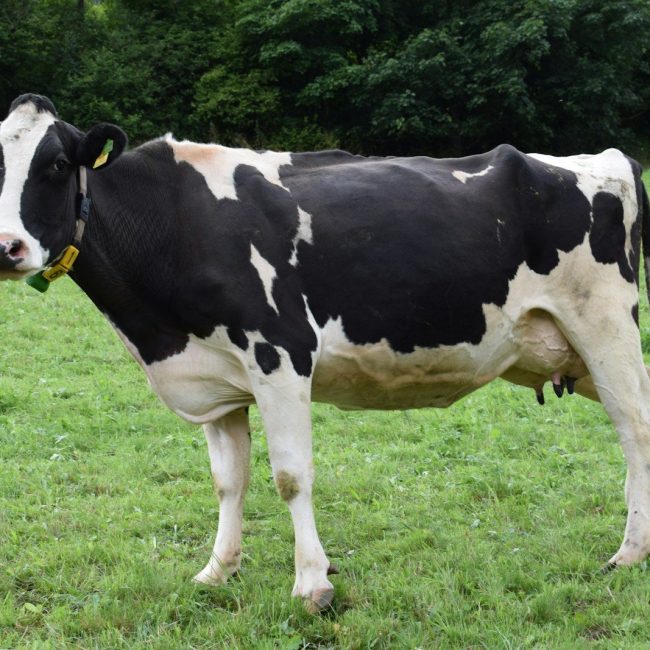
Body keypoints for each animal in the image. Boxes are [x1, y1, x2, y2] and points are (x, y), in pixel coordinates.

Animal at [0, 93, 649, 612]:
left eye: (56, 165)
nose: (8, 248)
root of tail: (604, 159)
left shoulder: (280, 354)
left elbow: (290, 476)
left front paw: (312, 584)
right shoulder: (215, 379)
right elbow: (227, 481)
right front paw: (218, 570)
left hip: (605, 324)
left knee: (634, 426)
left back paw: (630, 551)